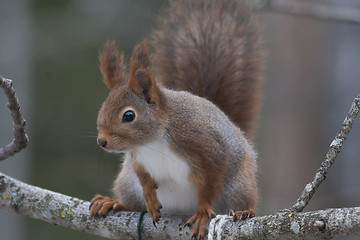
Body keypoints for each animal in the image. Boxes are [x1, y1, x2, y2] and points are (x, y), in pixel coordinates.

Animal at [90, 0, 264, 238]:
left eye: (129, 115)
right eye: (102, 107)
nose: (102, 141)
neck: (155, 140)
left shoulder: (206, 147)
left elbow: (210, 181)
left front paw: (202, 213)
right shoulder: (136, 157)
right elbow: (143, 175)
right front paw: (149, 196)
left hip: (238, 186)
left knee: (239, 201)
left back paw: (243, 212)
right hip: (127, 183)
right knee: (131, 201)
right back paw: (112, 203)